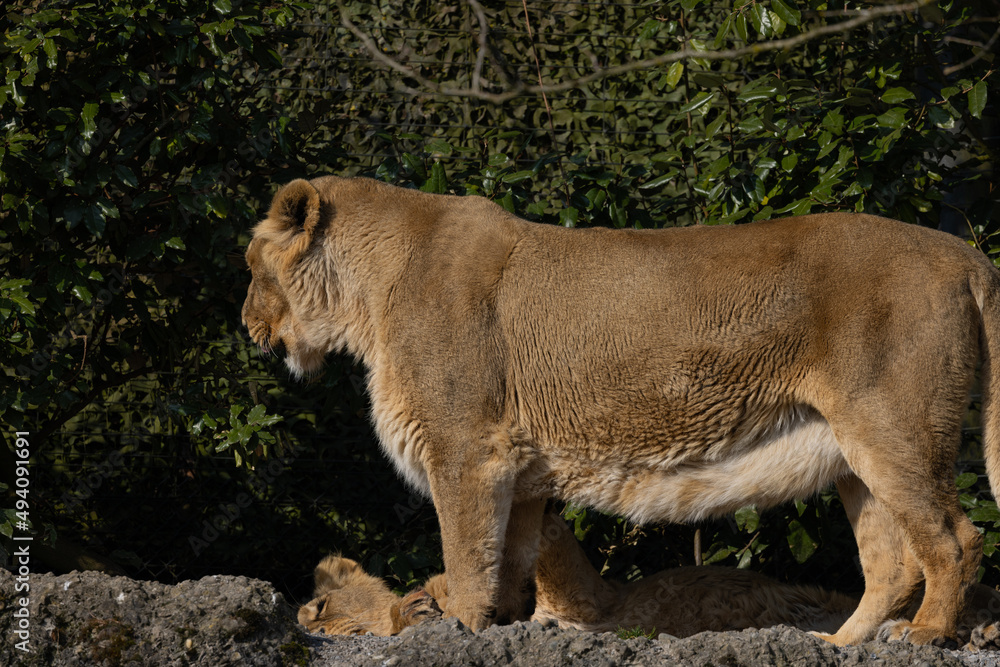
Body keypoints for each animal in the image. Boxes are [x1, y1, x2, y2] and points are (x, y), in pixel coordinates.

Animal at [243, 175, 1000, 645]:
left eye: (251, 267)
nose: (247, 326)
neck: (367, 298)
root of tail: (963, 251)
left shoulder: (465, 450)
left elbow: (465, 555)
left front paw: (453, 625)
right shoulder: (518, 471)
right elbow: (509, 563)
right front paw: (504, 628)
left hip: (894, 426)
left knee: (955, 538)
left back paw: (926, 635)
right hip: (849, 454)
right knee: (892, 562)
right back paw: (839, 643)